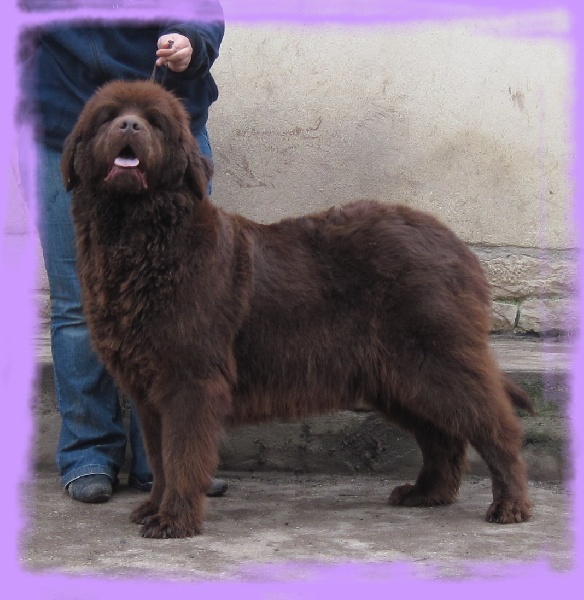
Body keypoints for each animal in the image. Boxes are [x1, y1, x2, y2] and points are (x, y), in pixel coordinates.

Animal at [62, 80, 534, 538]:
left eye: (155, 122)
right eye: (107, 116)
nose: (129, 126)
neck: (142, 241)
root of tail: (457, 246)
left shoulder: (188, 377)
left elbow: (181, 455)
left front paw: (174, 520)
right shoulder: (148, 388)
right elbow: (160, 457)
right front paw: (153, 508)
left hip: (434, 357)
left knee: (495, 426)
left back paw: (509, 505)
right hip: (396, 376)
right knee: (442, 436)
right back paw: (426, 493)